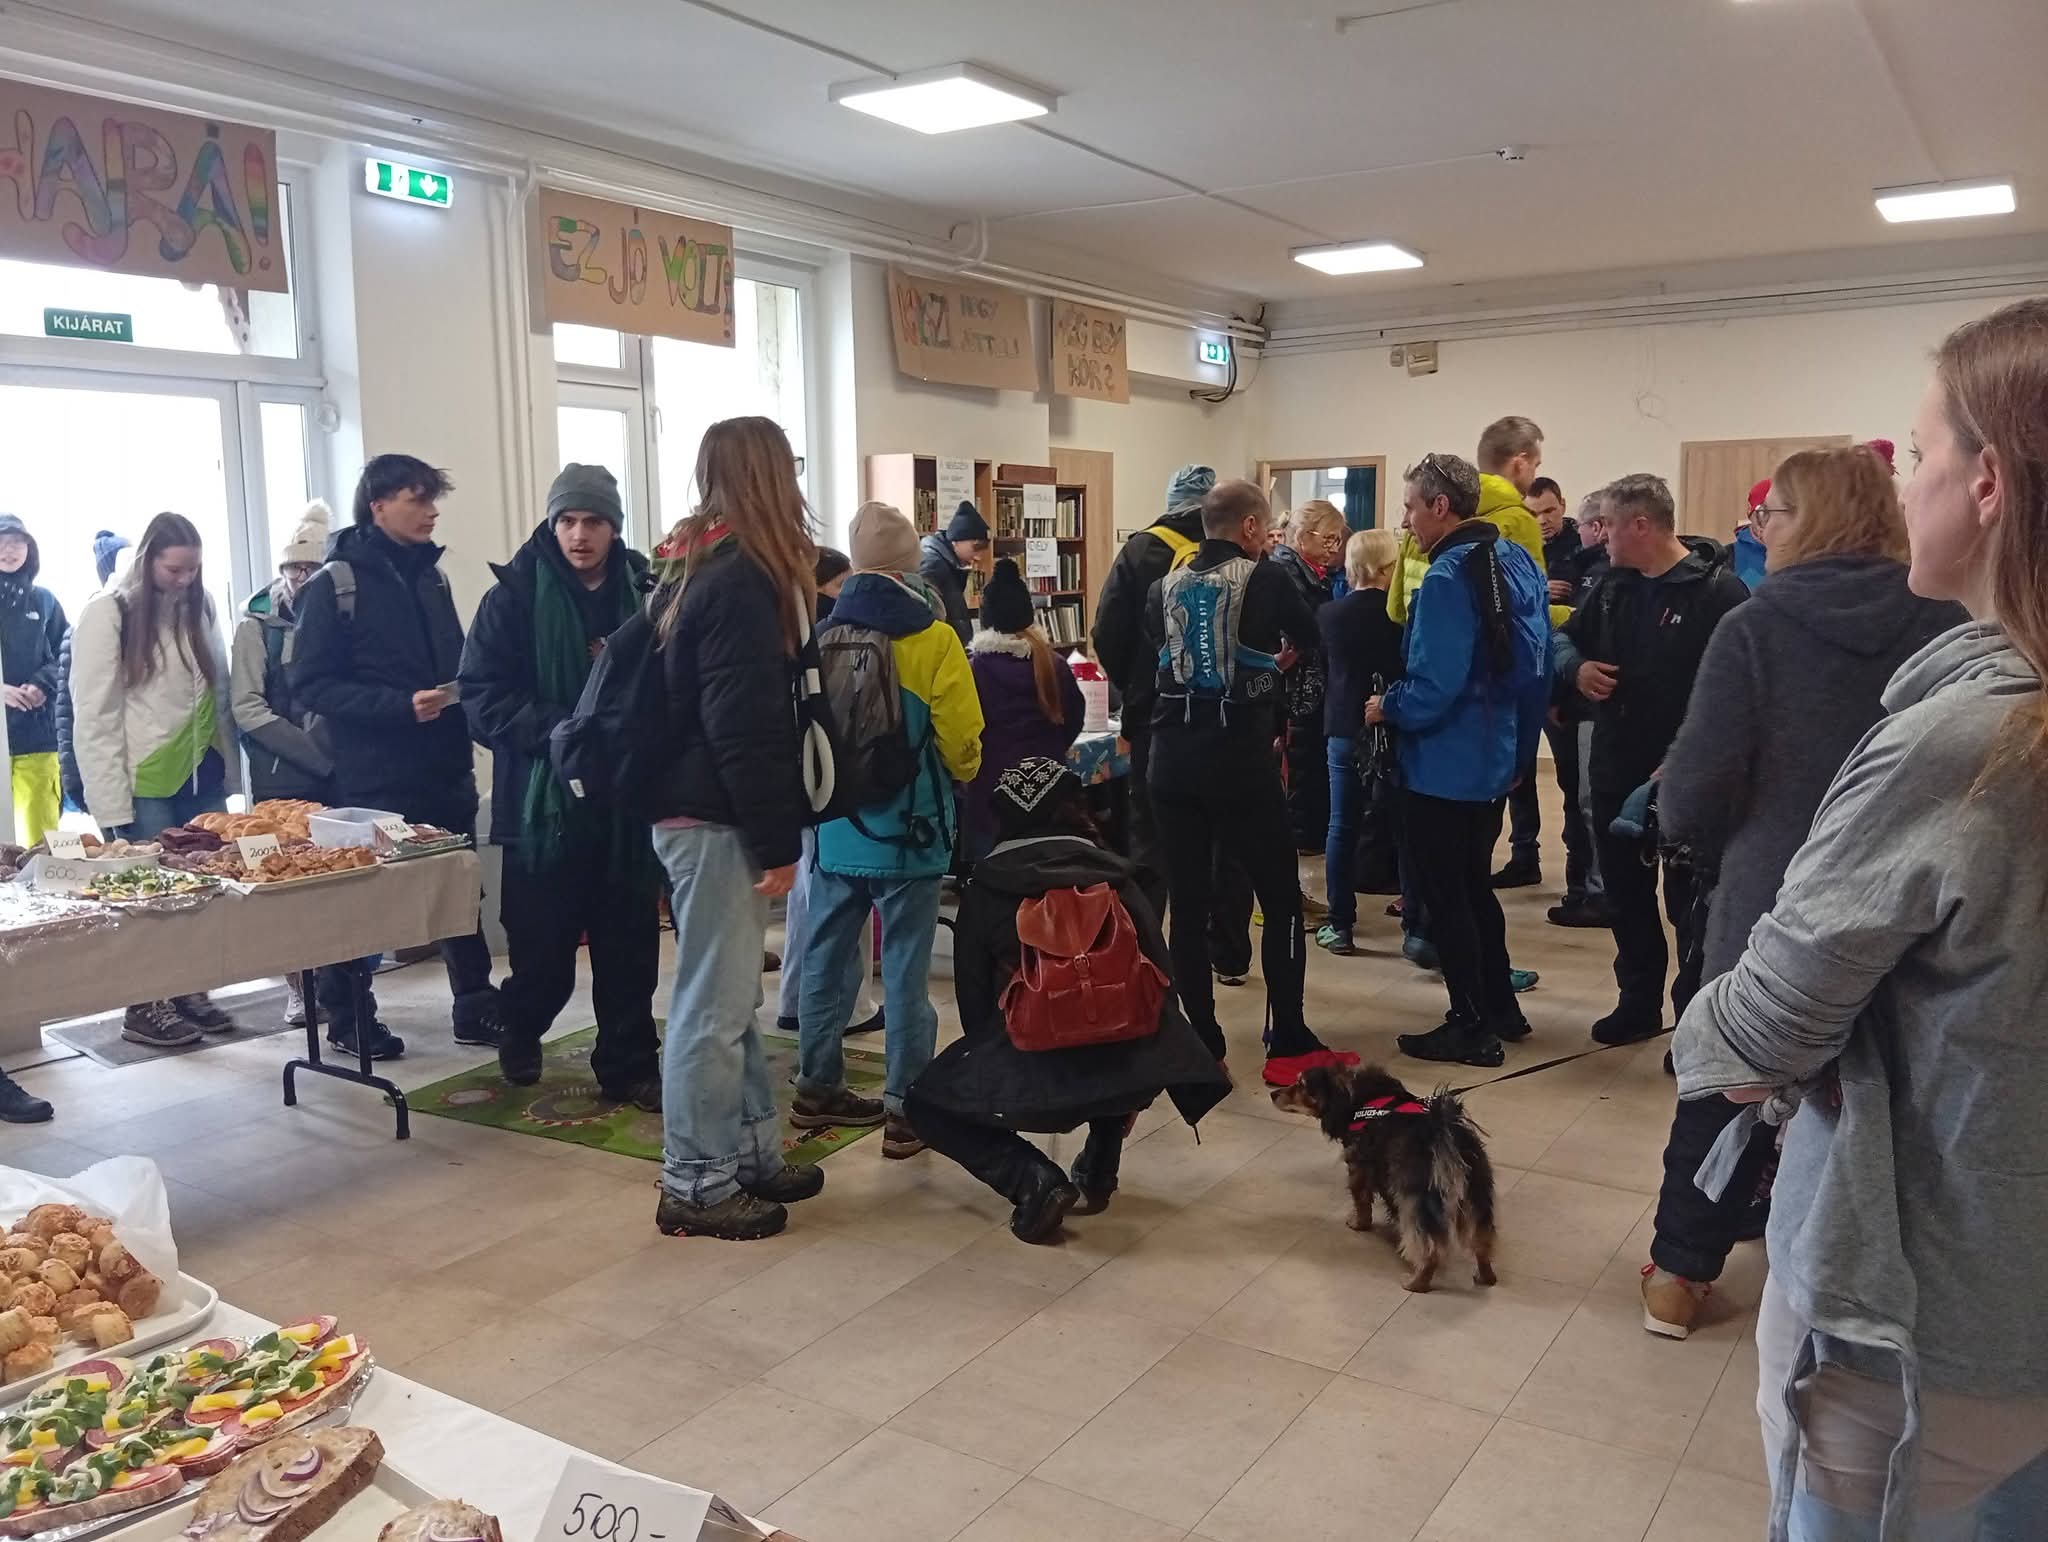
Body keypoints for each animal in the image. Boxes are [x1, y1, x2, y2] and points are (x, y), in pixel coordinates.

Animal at [1271, 1063, 1497, 1293]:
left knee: (1430, 1250)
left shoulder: (1359, 1165)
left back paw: (1416, 1283)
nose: (1272, 1093)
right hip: (1476, 1195)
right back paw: (1486, 1277)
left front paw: (1358, 1224)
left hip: (1419, 1197)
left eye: (1302, 1085)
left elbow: (1361, 1201)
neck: (1356, 1101)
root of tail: (1447, 1137)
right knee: (1481, 1241)